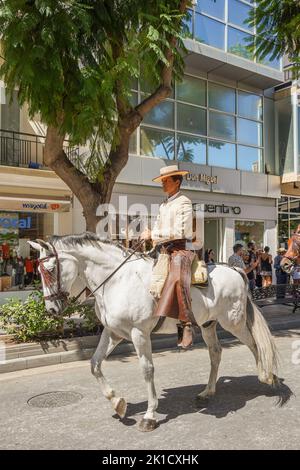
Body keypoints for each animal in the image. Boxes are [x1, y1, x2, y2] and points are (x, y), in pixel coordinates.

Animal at [29, 233, 278, 432]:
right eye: (38, 270)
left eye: (50, 269)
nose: (51, 310)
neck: (117, 280)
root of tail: (236, 270)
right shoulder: (113, 332)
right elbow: (95, 364)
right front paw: (118, 403)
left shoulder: (139, 333)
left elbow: (147, 370)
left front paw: (149, 415)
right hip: (209, 324)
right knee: (216, 353)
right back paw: (207, 391)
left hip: (233, 322)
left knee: (254, 345)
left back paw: (267, 377)